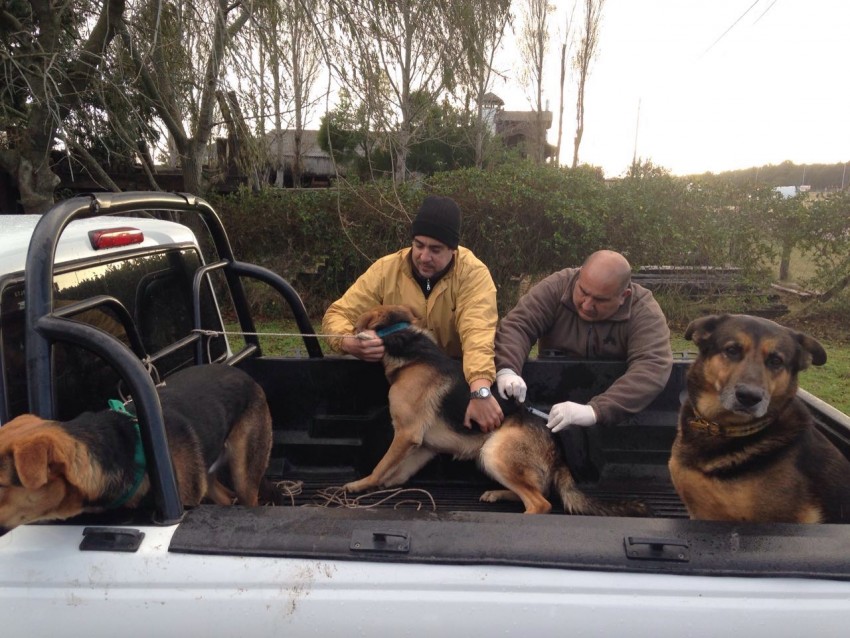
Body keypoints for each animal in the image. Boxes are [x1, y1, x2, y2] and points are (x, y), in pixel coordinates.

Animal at [342, 306, 644, 520]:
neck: (409, 344)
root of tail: (556, 448)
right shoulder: (422, 447)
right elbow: (393, 473)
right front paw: (380, 484)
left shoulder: (406, 434)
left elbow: (380, 466)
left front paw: (360, 485)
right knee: (536, 491)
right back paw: (497, 494)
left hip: (494, 452)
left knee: (541, 503)